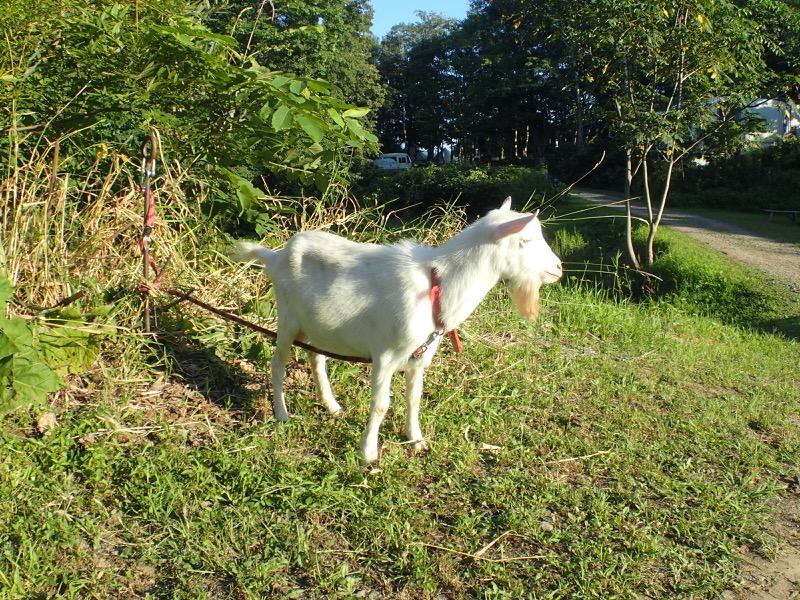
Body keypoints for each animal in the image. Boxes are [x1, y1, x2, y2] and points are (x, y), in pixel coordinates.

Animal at [236, 197, 564, 464]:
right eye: (526, 240)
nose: (559, 268)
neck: (436, 286)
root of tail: (275, 256)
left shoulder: (419, 356)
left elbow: (414, 398)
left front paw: (415, 439)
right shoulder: (386, 354)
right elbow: (381, 405)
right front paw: (368, 454)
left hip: (315, 325)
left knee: (317, 358)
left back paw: (331, 406)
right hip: (287, 318)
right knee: (278, 362)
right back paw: (282, 415)